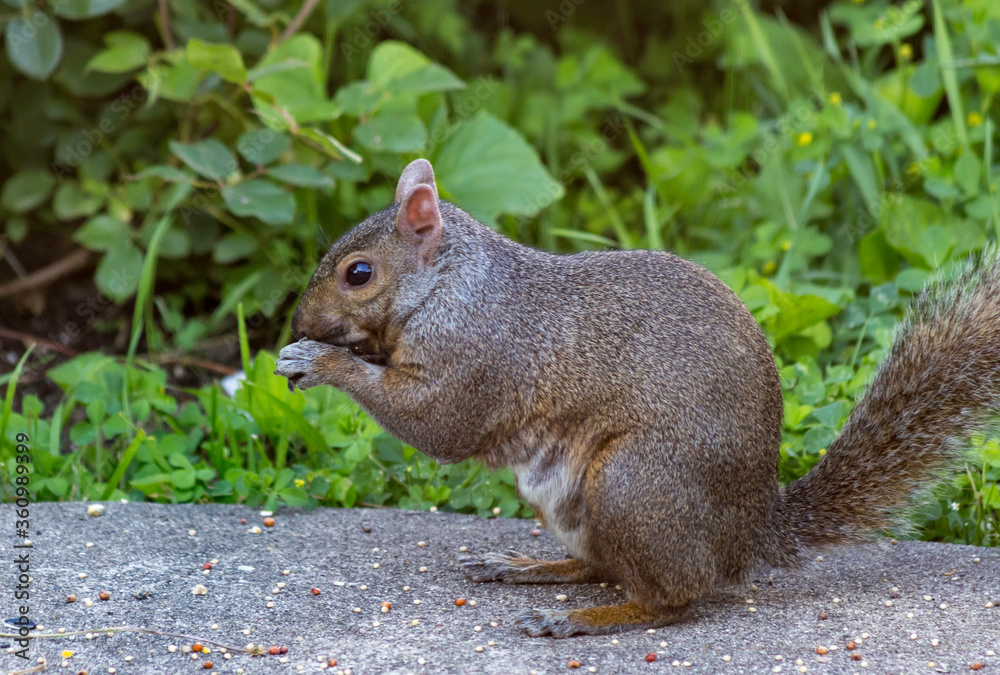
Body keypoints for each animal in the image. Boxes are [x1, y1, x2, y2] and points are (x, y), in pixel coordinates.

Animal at [275, 158, 1000, 638]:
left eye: (359, 273)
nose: (299, 322)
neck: (450, 285)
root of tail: (749, 531)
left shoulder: (479, 357)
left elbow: (436, 423)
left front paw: (319, 361)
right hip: (576, 498)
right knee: (602, 565)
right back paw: (530, 565)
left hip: (634, 482)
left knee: (670, 597)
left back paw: (584, 619)